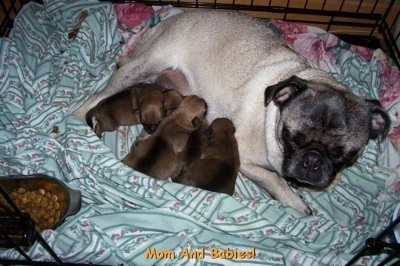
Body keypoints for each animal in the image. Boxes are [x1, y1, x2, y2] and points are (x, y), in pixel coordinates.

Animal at [75, 10, 390, 214]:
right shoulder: (248, 161)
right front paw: (295, 201)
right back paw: (78, 122)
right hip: (143, 66)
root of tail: (171, 19)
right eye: (292, 138)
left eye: (344, 155)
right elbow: (274, 180)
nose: (313, 161)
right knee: (93, 99)